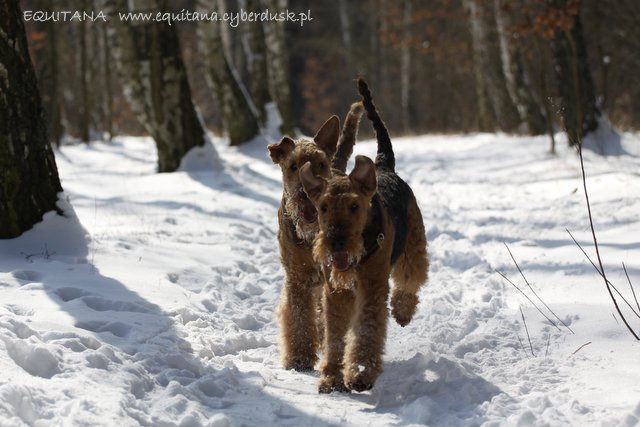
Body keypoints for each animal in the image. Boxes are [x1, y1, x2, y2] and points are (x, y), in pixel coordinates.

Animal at [268, 103, 362, 372]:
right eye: (293, 166)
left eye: (320, 163)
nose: (306, 195)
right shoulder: (297, 276)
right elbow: (299, 315)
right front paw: (299, 358)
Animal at [298, 78, 428, 392]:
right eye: (323, 207)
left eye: (354, 206)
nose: (336, 241)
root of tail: (382, 165)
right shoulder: (336, 293)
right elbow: (335, 336)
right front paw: (332, 376)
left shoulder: (371, 289)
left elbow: (367, 332)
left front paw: (359, 374)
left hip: (414, 244)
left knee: (411, 279)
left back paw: (402, 311)